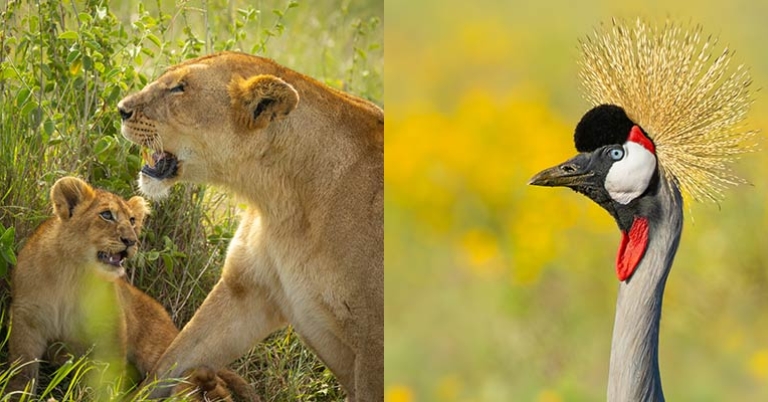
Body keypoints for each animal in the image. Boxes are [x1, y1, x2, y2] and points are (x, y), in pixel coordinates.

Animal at [6, 176, 259, 402]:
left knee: (204, 381)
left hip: (157, 349)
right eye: (106, 215)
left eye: (132, 220)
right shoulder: (27, 318)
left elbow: (108, 374)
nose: (131, 241)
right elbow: (23, 369)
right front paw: (17, 395)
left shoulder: (111, 325)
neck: (74, 274)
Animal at [117, 51, 383, 400]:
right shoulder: (245, 291)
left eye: (180, 88)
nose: (121, 109)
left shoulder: (374, 347)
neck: (282, 203)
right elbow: (170, 363)